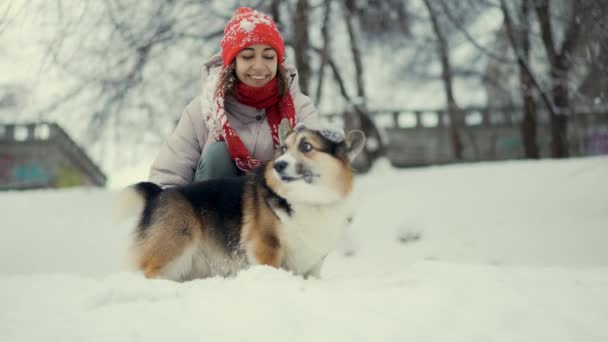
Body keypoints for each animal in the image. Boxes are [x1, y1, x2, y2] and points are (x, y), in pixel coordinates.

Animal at [119, 120, 366, 280]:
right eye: (283, 149)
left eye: (306, 146)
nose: (278, 165)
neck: (307, 200)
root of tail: (157, 193)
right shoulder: (266, 246)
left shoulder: (314, 262)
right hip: (176, 245)